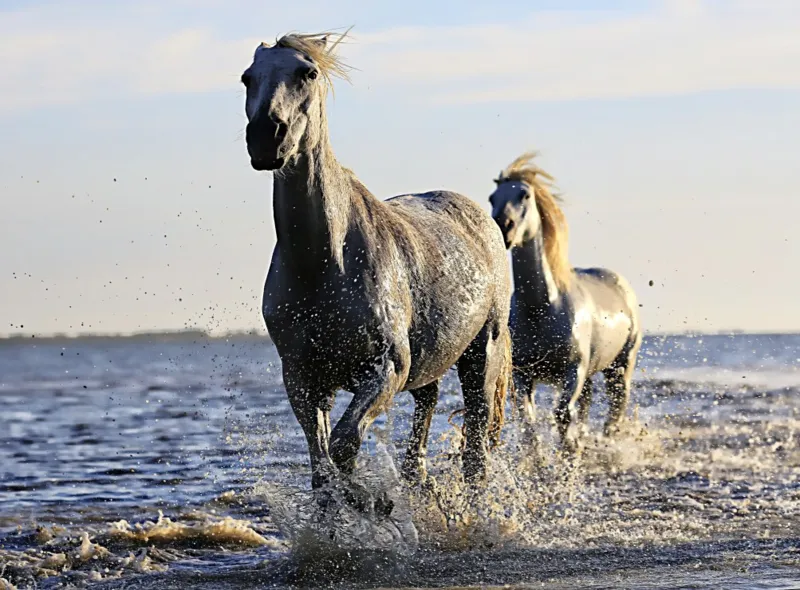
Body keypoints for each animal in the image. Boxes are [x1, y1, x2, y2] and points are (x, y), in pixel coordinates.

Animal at [241, 31, 512, 510]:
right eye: (247, 77)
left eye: (307, 73)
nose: (265, 137)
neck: (323, 265)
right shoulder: (303, 378)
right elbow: (322, 467)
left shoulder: (385, 369)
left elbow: (344, 446)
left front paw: (370, 504)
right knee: (426, 412)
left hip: (482, 356)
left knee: (476, 450)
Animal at [488, 152, 641, 454]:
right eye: (492, 198)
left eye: (524, 195)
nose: (503, 226)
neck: (542, 308)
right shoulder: (524, 374)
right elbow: (529, 421)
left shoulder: (573, 370)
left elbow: (562, 415)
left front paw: (569, 453)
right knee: (587, 404)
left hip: (620, 366)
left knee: (615, 407)